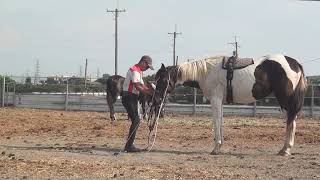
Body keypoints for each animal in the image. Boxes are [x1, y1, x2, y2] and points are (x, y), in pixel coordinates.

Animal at [152, 53, 308, 156]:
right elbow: (220, 122)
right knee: (291, 121)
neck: (205, 72)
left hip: (285, 100)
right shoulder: (220, 101)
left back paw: (286, 149)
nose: (156, 99)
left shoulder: (215, 100)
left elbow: (216, 123)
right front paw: (220, 146)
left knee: (291, 122)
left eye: (162, 79)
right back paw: (284, 148)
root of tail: (294, 63)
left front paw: (216, 148)